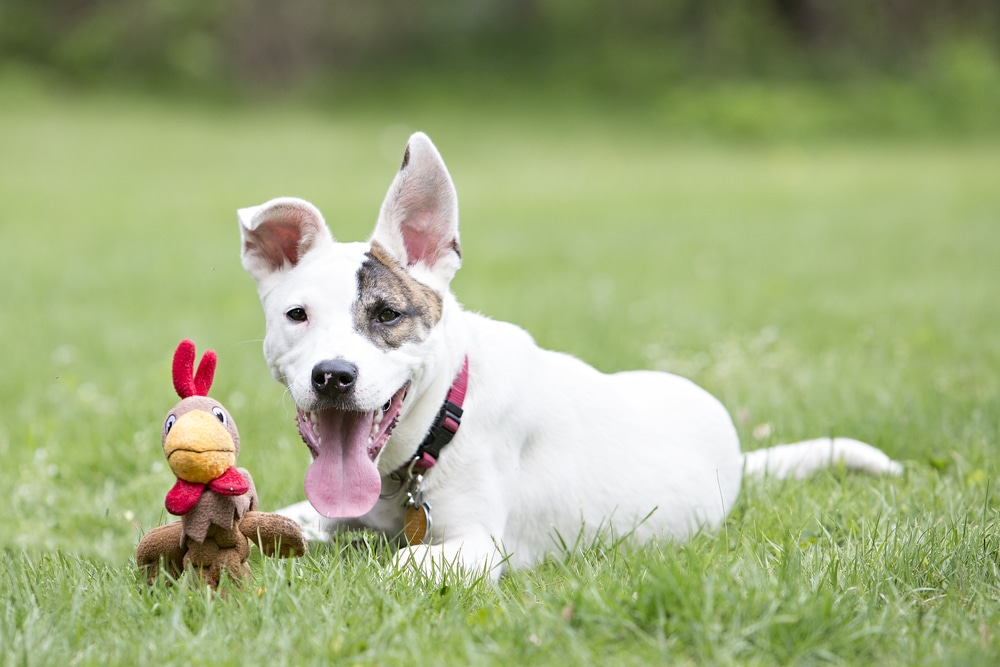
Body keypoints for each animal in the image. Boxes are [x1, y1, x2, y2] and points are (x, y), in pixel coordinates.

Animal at [238, 132, 904, 580]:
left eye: (387, 316)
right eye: (297, 315)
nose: (333, 377)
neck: (433, 431)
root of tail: (737, 453)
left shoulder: (478, 547)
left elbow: (403, 562)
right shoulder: (322, 510)